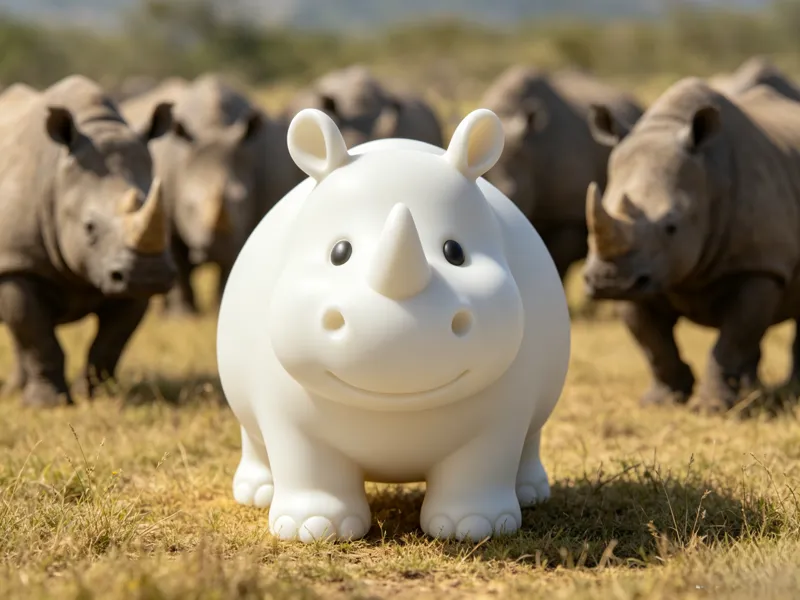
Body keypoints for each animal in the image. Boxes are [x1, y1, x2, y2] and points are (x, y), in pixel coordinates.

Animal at [0, 74, 176, 407]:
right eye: (89, 227)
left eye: (167, 221)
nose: (148, 275)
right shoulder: (17, 262)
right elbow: (37, 338)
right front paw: (48, 404)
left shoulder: (125, 280)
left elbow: (110, 342)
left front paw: (97, 398)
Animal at [121, 73, 273, 315]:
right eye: (189, 206)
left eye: (242, 199)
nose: (214, 251)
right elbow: (178, 261)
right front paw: (183, 316)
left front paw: (222, 309)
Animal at [582, 76, 800, 413]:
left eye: (671, 227)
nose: (606, 281)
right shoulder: (641, 276)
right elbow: (652, 342)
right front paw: (661, 402)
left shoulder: (760, 266)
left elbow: (733, 340)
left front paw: (713, 408)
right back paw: (753, 391)